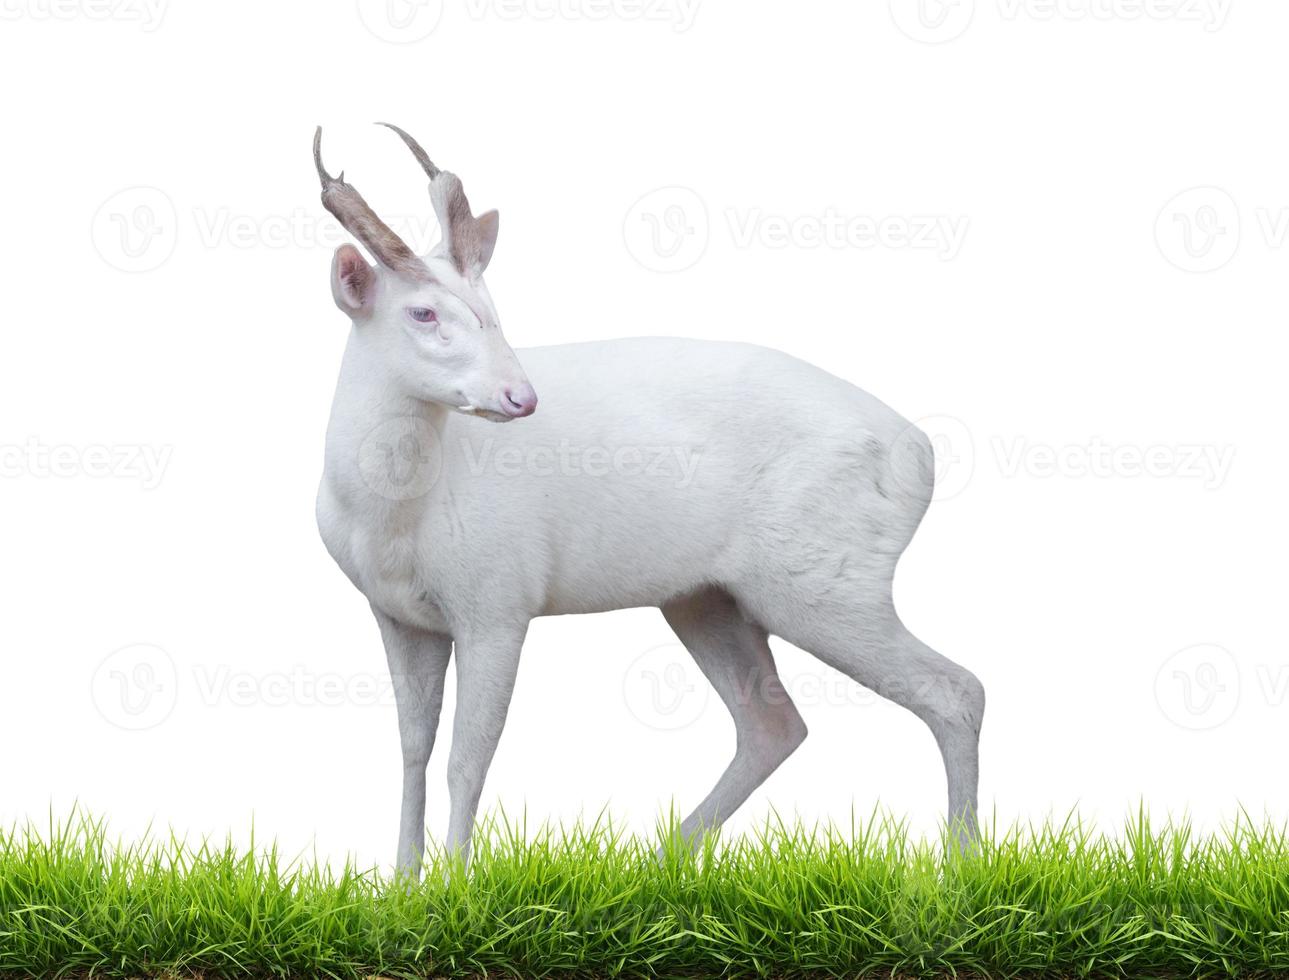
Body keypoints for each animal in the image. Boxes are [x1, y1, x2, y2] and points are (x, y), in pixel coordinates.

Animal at [311, 122, 984, 871]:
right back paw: (657, 861)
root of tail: (921, 454)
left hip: (826, 584)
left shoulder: (499, 600)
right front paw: (403, 884)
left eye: (492, 312)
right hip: (706, 598)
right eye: (423, 312)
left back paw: (957, 871)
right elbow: (412, 750)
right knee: (775, 721)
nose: (520, 397)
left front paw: (457, 886)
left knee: (956, 690)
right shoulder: (397, 614)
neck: (395, 519)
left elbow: (468, 759)